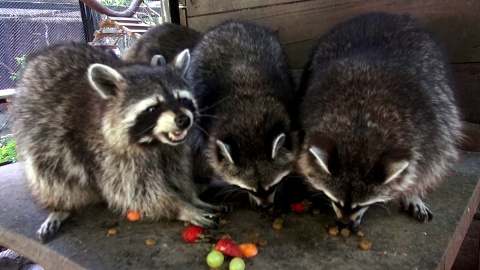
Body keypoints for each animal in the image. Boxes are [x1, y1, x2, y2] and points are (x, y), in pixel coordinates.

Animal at [13, 42, 221, 243]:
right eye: (153, 108)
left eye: (183, 100)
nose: (183, 120)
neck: (155, 141)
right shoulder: (106, 152)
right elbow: (136, 191)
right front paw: (181, 207)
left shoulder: (172, 150)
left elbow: (177, 172)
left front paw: (190, 195)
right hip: (39, 140)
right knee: (52, 176)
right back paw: (61, 208)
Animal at [300, 12, 462, 230]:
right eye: (335, 200)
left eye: (363, 205)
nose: (345, 224)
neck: (360, 127)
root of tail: (386, 14)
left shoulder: (431, 129)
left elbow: (427, 165)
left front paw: (413, 192)